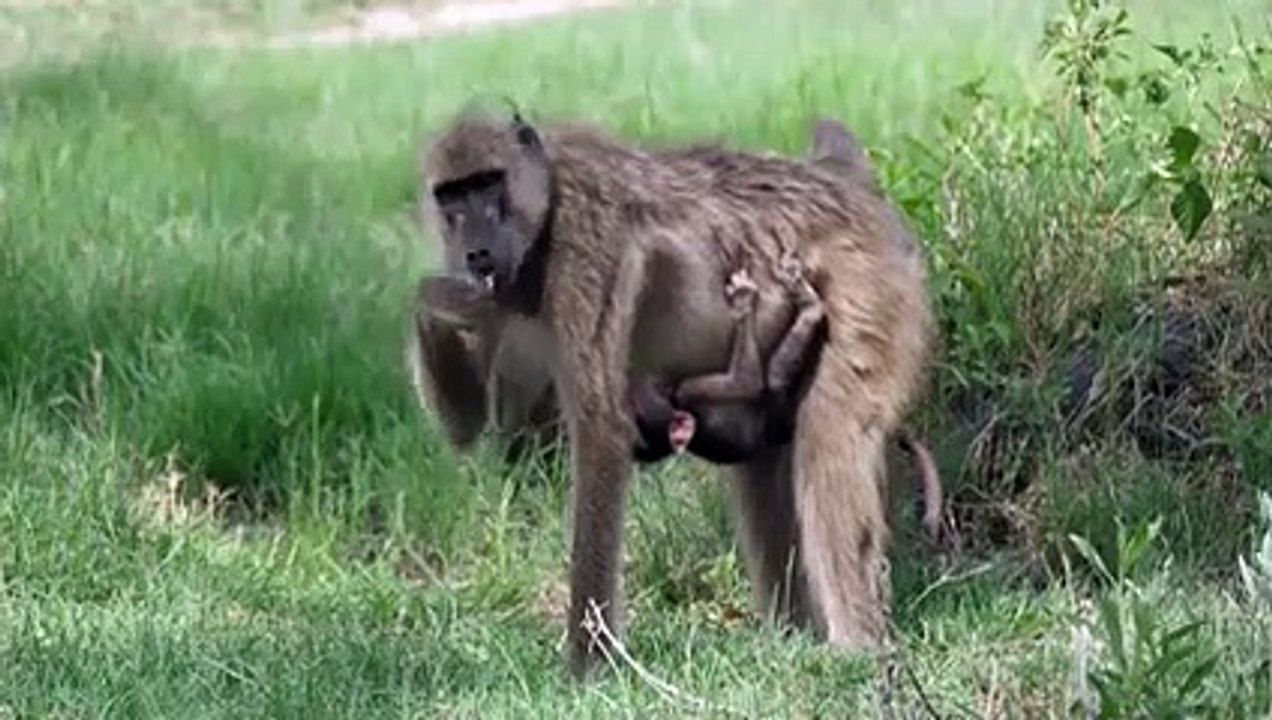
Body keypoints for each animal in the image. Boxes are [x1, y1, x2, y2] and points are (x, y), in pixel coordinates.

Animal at [420, 110, 934, 677]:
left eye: (488, 184)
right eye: (451, 196)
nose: (477, 252)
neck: (546, 211)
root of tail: (842, 184)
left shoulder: (587, 243)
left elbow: (600, 430)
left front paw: (587, 667)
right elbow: (475, 428)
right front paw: (440, 299)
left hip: (868, 289)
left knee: (828, 444)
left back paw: (857, 651)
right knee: (761, 466)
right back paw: (791, 639)